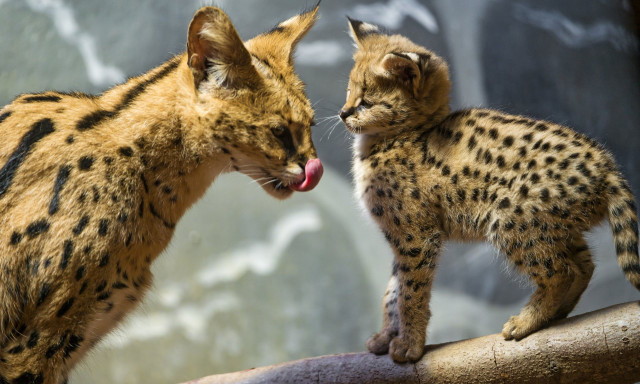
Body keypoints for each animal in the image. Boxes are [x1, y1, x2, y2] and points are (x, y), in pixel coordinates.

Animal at [342, 18, 640, 364]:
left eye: (366, 102)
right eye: (349, 91)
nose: (343, 113)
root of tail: (606, 165)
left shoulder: (416, 236)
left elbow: (410, 292)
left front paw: (409, 345)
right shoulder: (402, 237)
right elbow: (392, 290)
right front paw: (386, 336)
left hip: (512, 220)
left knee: (561, 272)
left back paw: (526, 321)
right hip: (551, 226)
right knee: (584, 265)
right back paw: (557, 314)